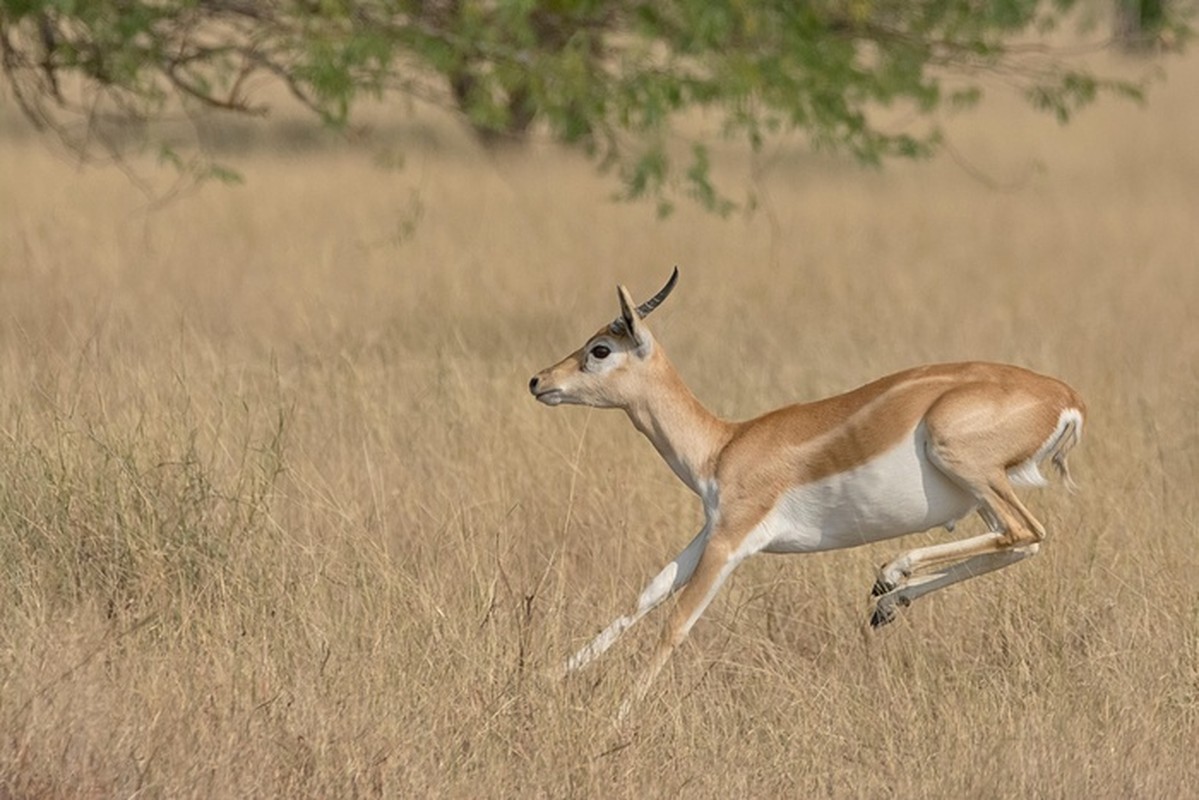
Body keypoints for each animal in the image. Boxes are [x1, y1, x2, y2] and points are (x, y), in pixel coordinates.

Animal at [529, 268, 1083, 705]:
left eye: (600, 349)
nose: (538, 381)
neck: (723, 444)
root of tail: (1066, 397)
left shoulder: (731, 541)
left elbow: (677, 623)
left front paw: (615, 715)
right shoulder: (710, 531)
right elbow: (647, 594)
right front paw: (547, 677)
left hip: (965, 463)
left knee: (1027, 532)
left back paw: (891, 574)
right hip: (982, 493)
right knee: (1021, 543)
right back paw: (887, 600)